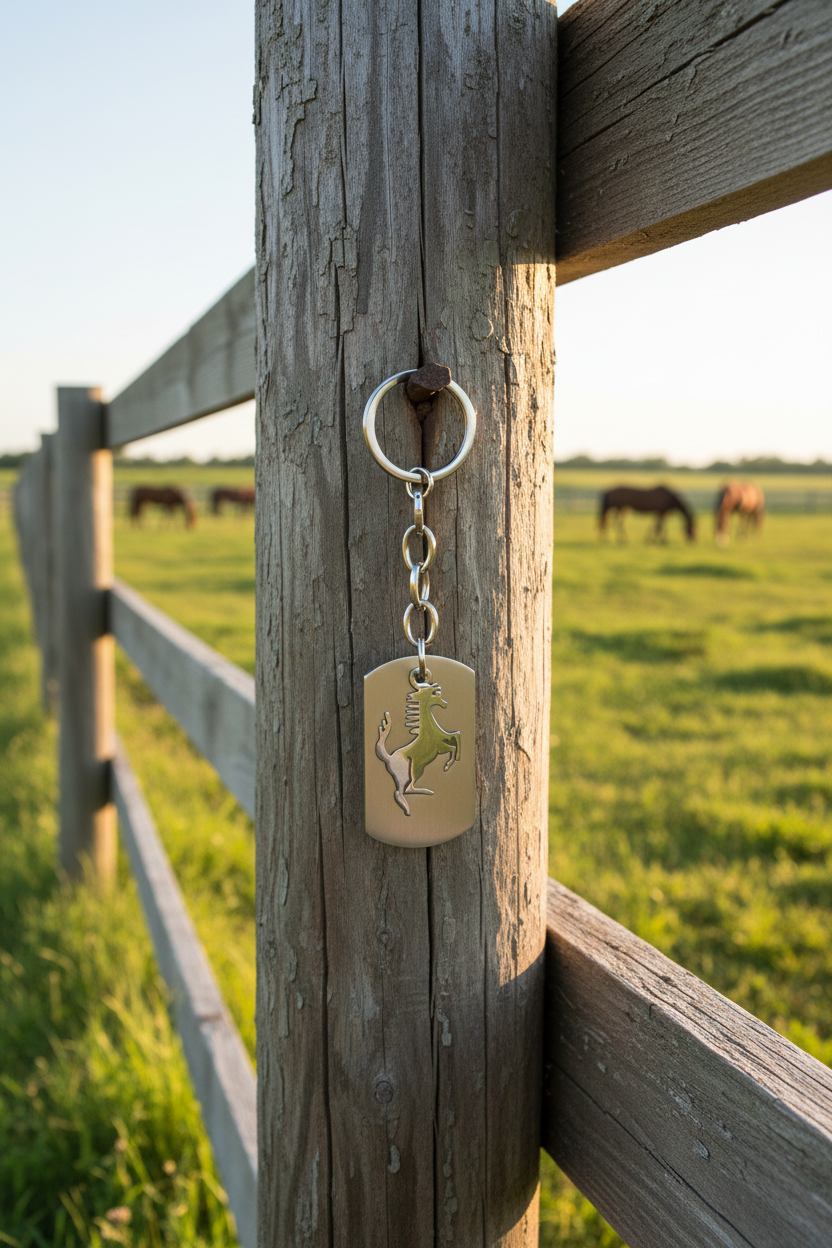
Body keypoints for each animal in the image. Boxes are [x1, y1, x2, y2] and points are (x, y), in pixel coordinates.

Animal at [375, 678, 461, 816]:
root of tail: (389, 758)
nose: (445, 704)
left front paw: (455, 759)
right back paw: (414, 803)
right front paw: (448, 765)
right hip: (410, 771)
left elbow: (457, 735)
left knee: (406, 789)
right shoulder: (440, 747)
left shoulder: (445, 737)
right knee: (402, 791)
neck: (429, 729)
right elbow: (452, 747)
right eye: (434, 694)